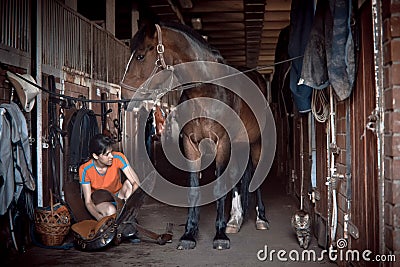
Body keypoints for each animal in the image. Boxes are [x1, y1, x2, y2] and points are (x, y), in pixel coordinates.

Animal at [122, 22, 272, 250]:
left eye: (140, 56)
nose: (124, 97)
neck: (207, 90)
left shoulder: (222, 142)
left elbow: (219, 187)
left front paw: (220, 236)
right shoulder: (190, 144)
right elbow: (194, 189)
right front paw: (189, 234)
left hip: (256, 143)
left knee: (256, 174)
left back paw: (260, 219)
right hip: (239, 144)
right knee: (238, 177)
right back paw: (235, 220)